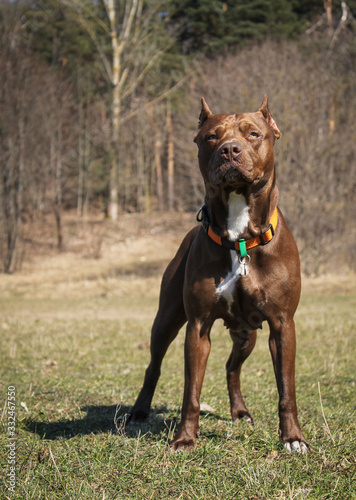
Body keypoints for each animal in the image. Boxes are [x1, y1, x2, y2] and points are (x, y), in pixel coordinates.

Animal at [129, 95, 308, 456]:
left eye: (254, 134)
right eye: (212, 137)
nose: (229, 150)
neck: (239, 236)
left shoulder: (282, 325)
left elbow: (286, 388)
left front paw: (293, 438)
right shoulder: (197, 327)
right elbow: (191, 391)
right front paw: (184, 438)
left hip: (247, 333)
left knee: (231, 367)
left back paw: (239, 411)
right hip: (166, 320)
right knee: (154, 366)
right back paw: (139, 411)